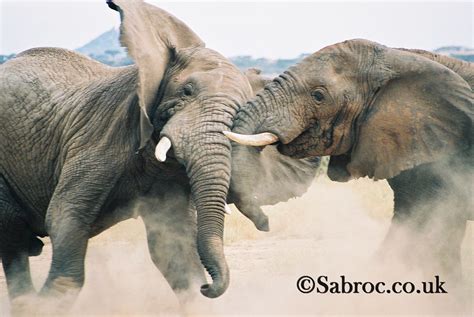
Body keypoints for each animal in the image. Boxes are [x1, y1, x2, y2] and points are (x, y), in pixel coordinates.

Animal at [0, 0, 320, 312]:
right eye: (187, 91)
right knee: (14, 236)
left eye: (241, 109)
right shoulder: (100, 137)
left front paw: (197, 289)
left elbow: (173, 248)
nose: (209, 287)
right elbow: (65, 217)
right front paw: (42, 306)